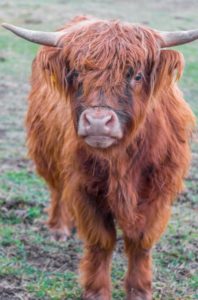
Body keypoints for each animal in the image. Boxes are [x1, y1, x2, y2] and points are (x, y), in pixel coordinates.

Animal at [2, 16, 197, 300]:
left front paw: (139, 290)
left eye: (137, 75)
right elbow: (101, 240)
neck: (121, 160)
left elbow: (141, 240)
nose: (97, 122)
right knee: (58, 190)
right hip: (47, 153)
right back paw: (59, 229)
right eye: (75, 74)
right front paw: (97, 291)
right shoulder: (86, 188)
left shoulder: (159, 190)